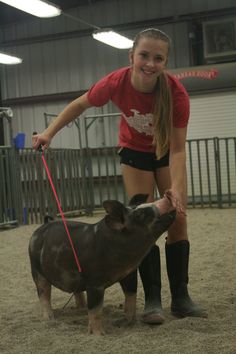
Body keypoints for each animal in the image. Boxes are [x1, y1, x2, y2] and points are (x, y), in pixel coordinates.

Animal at [28, 194, 175, 334]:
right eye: (139, 214)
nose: (167, 197)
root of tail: (42, 226)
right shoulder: (94, 282)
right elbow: (95, 309)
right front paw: (100, 334)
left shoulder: (129, 274)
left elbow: (130, 296)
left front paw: (128, 322)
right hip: (36, 270)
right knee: (43, 294)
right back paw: (49, 318)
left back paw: (81, 308)